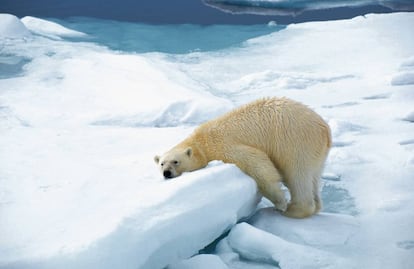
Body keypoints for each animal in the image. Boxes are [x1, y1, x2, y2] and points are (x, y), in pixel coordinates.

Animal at [154, 97, 332, 218]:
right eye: (161, 163)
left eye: (175, 162)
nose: (166, 173)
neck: (202, 142)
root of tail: (325, 130)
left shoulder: (225, 146)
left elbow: (258, 164)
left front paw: (280, 202)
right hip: (315, 152)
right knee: (313, 175)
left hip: (294, 141)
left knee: (297, 173)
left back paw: (293, 209)